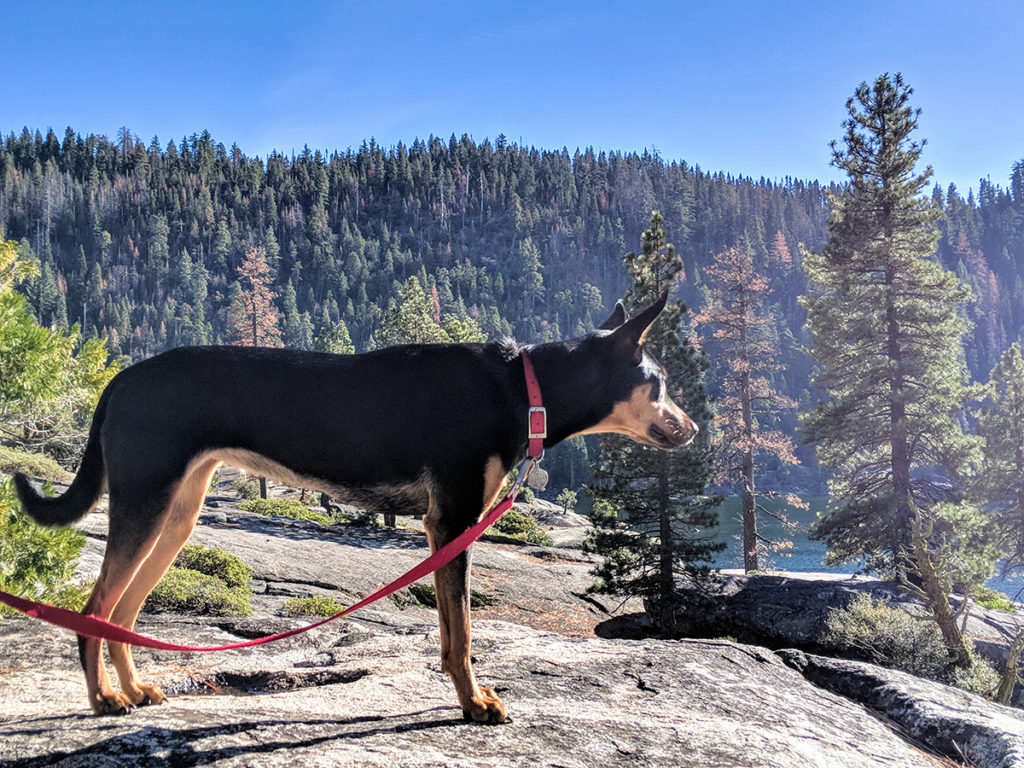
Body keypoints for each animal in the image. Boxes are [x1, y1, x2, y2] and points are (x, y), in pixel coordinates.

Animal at [16, 290, 700, 724]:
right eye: (661, 383)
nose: (693, 429)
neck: (522, 386)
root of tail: (121, 380)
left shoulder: (439, 529)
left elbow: (449, 633)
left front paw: (462, 696)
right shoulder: (453, 519)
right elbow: (464, 635)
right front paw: (474, 705)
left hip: (176, 515)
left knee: (121, 612)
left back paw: (132, 690)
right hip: (145, 502)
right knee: (95, 608)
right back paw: (104, 700)